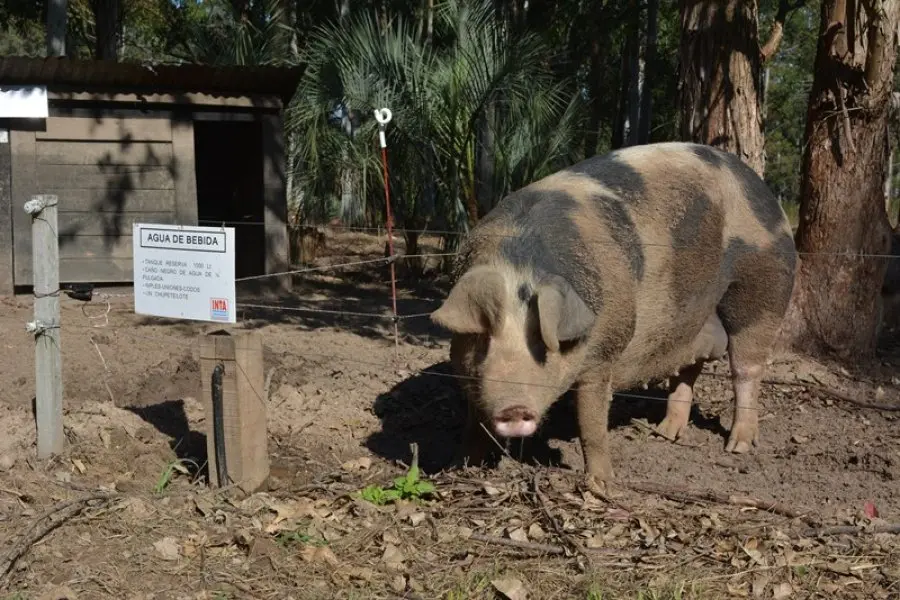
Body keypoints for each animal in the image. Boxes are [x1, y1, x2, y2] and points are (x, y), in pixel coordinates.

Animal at [430, 142, 798, 482]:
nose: (514, 407)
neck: (516, 266)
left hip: (763, 290)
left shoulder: (604, 349)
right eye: (482, 339)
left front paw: (602, 484)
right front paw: (458, 467)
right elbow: (474, 424)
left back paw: (737, 446)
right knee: (688, 368)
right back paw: (666, 433)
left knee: (746, 368)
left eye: (541, 343)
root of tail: (764, 191)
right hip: (692, 319)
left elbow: (592, 421)